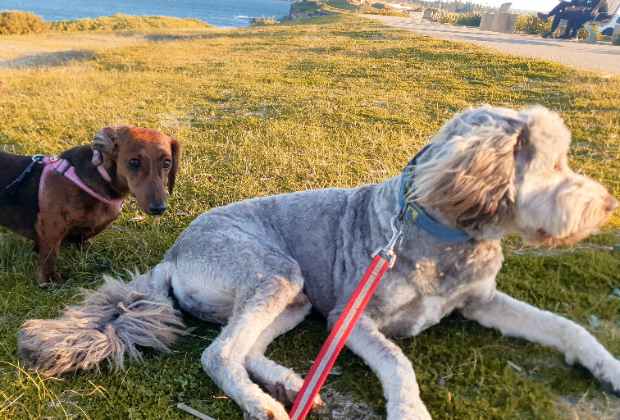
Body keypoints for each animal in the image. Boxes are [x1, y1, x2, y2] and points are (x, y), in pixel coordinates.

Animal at [17, 106, 616, 420]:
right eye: (554, 163)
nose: (609, 206)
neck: (437, 230)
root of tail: (171, 254)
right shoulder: (353, 320)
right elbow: (399, 361)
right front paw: (410, 409)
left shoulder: (481, 299)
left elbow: (564, 326)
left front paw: (606, 366)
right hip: (277, 273)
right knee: (218, 353)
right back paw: (263, 405)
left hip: (296, 298)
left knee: (245, 346)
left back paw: (285, 382)